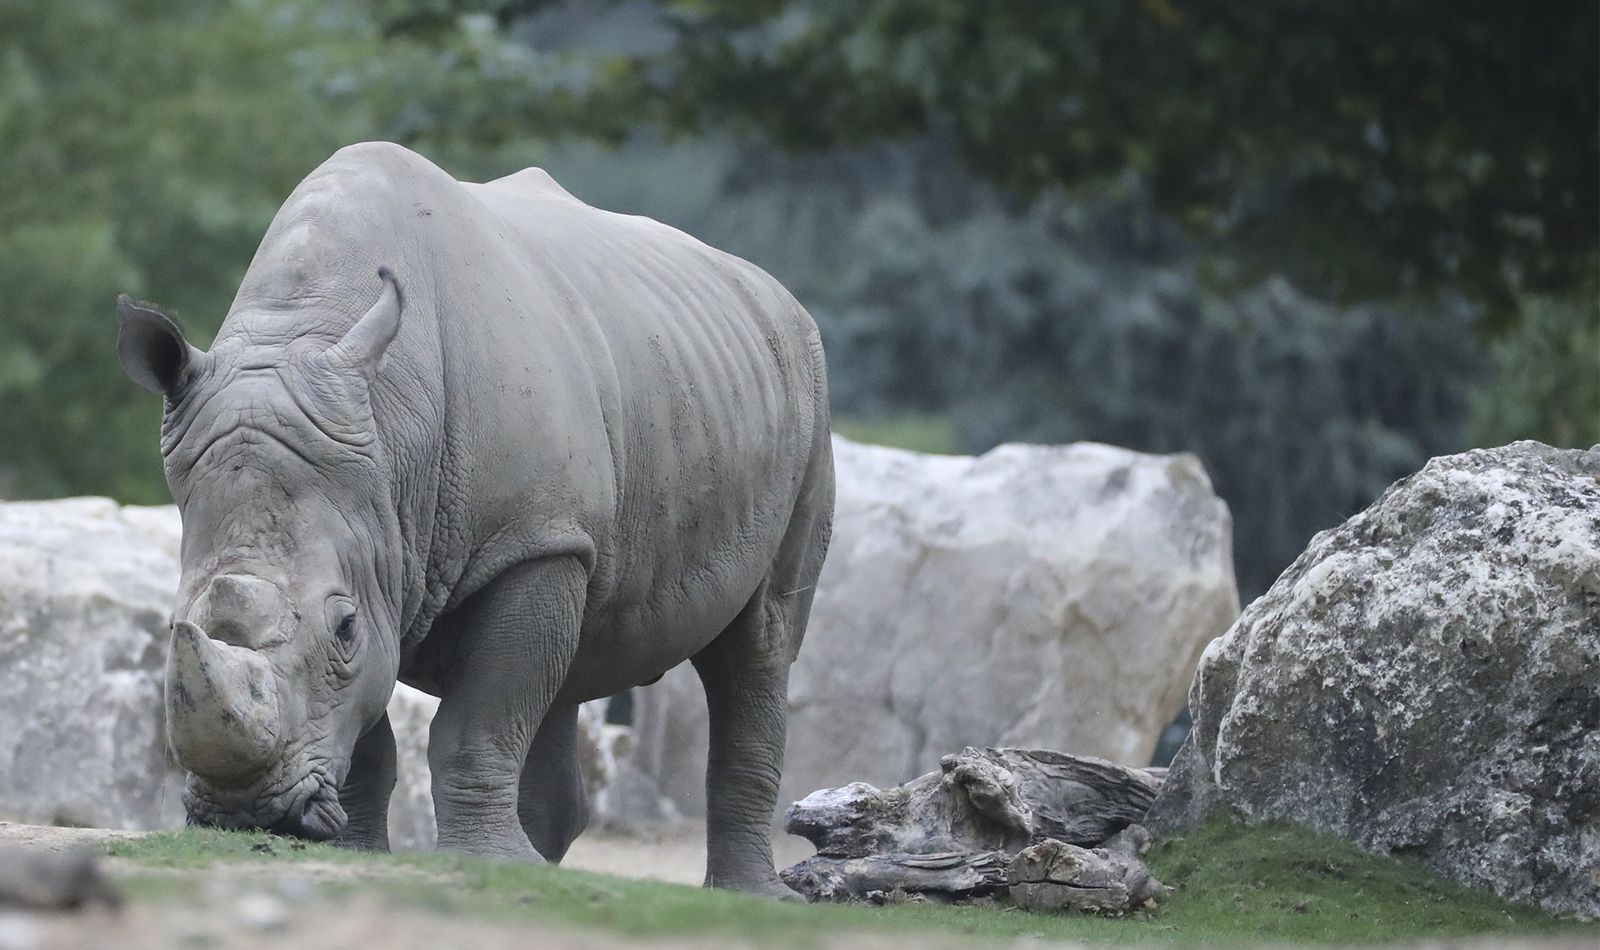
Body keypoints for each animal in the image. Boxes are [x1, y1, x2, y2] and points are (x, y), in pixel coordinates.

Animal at [115, 142, 833, 897]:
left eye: (342, 628)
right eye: (176, 624)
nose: (243, 813)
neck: (391, 442)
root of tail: (778, 295)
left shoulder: (529, 535)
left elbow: (476, 719)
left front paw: (485, 865)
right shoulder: (387, 547)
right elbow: (379, 723)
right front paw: (367, 855)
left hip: (802, 392)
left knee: (760, 640)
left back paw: (751, 894)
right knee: (567, 659)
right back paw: (545, 869)